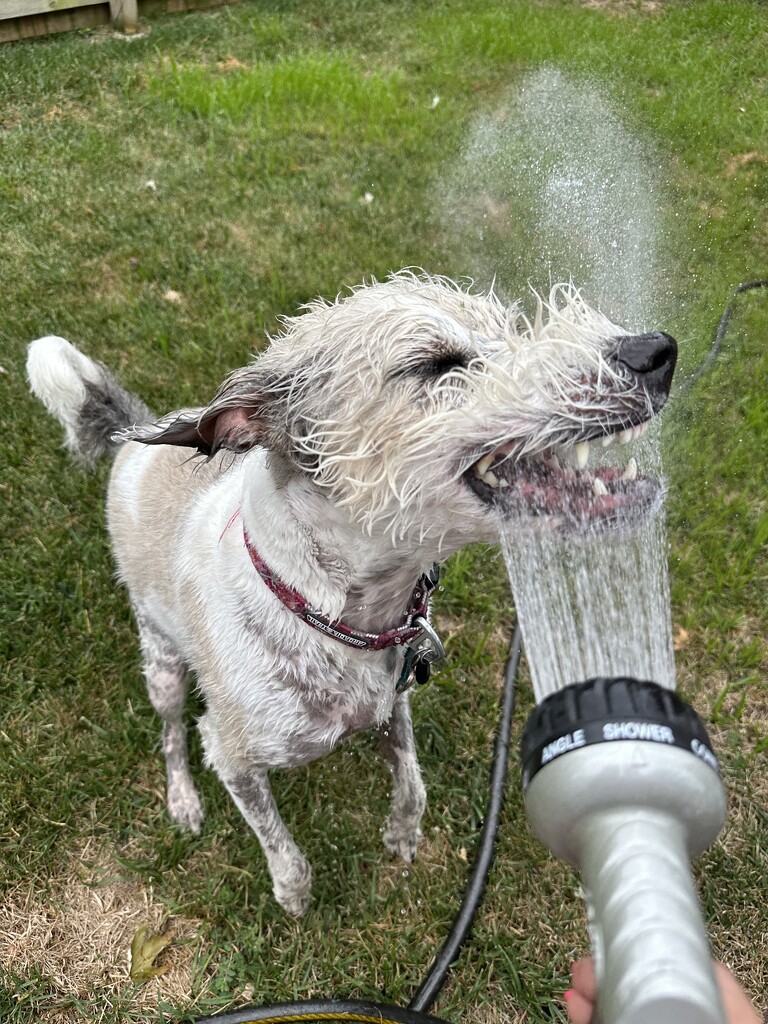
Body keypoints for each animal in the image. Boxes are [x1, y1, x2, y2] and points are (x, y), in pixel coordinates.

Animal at [24, 270, 675, 913]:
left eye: (511, 326)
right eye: (436, 364)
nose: (657, 350)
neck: (328, 615)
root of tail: (130, 444)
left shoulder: (394, 705)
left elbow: (413, 783)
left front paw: (403, 835)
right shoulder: (232, 754)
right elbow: (278, 841)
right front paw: (293, 894)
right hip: (160, 659)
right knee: (169, 735)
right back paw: (183, 799)